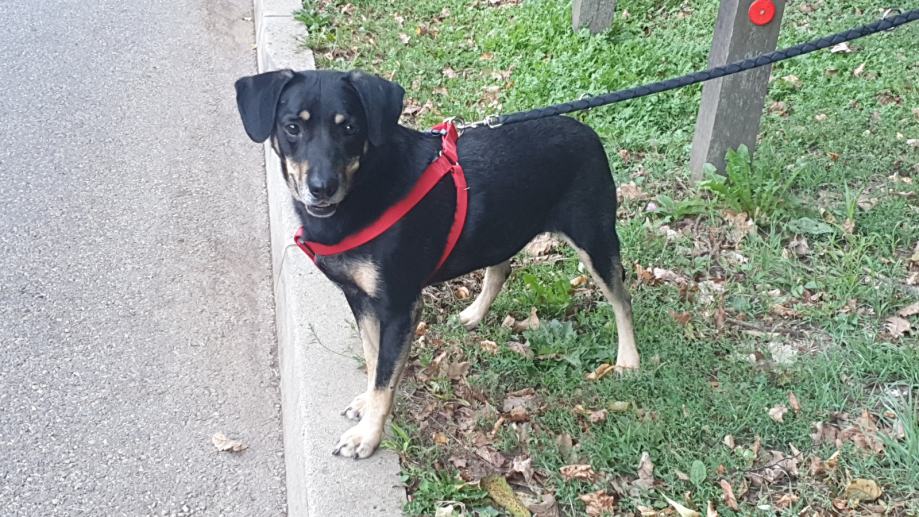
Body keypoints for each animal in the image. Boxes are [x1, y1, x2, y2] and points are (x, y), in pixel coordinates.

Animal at [235, 69, 637, 459]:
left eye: (349, 127)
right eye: (292, 127)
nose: (322, 188)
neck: (365, 187)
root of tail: (586, 131)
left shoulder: (400, 306)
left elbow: (384, 377)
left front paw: (367, 435)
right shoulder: (360, 298)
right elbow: (373, 359)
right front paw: (367, 403)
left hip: (594, 237)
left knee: (621, 297)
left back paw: (628, 360)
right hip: (500, 229)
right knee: (501, 268)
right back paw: (474, 313)